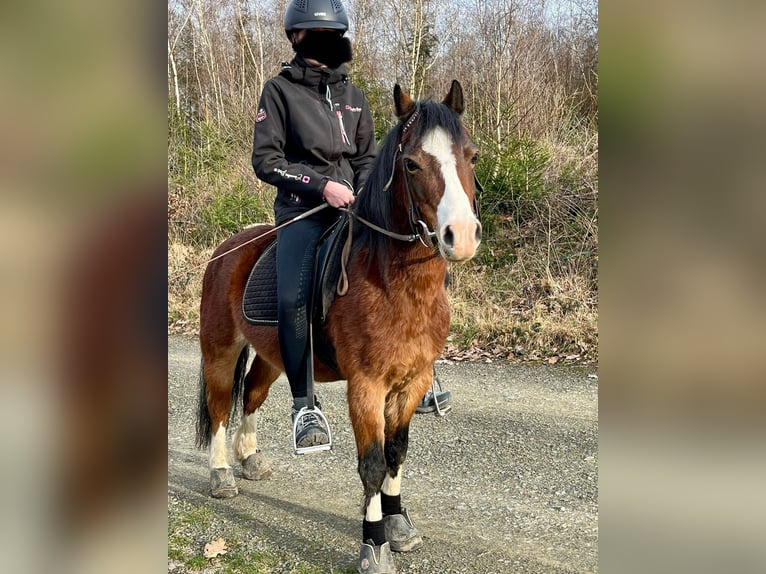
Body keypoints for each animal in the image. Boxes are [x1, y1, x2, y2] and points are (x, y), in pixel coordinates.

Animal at [198, 81, 484, 572]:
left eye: (471, 155)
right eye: (411, 163)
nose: (460, 236)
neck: (393, 283)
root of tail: (227, 248)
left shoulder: (412, 382)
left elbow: (395, 454)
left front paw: (398, 523)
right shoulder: (366, 386)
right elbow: (371, 463)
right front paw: (374, 545)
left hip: (275, 357)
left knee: (251, 394)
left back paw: (250, 459)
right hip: (219, 351)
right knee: (219, 408)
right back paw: (221, 475)